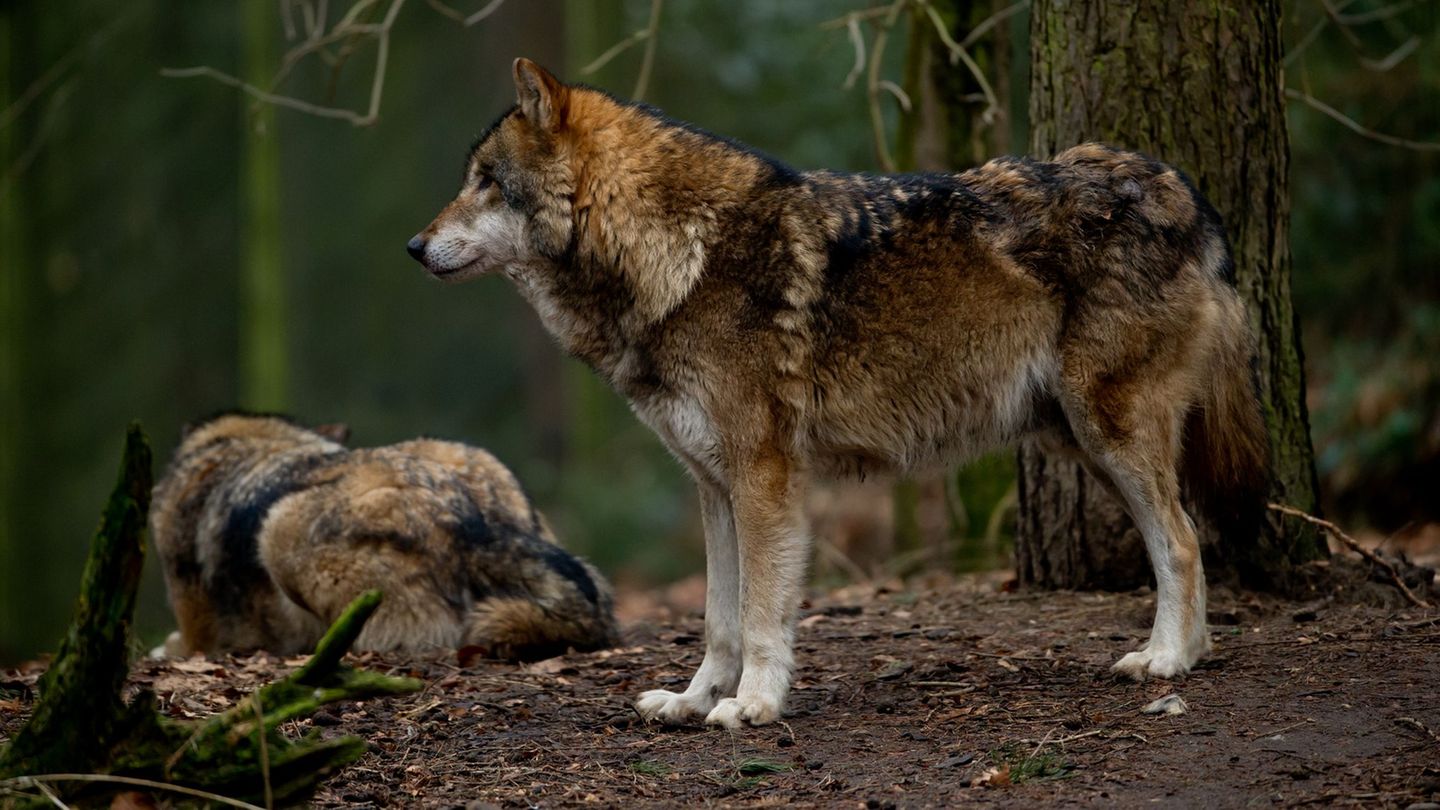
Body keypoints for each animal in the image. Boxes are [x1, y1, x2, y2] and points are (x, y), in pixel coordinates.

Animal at [406, 60, 1269, 728]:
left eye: (487, 182)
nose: (414, 246)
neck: (676, 257)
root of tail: (1181, 188)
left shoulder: (765, 479)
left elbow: (761, 615)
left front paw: (753, 706)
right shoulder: (713, 486)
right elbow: (717, 619)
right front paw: (692, 702)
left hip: (1108, 432)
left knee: (1183, 542)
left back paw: (1167, 661)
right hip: (1082, 443)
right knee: (1180, 540)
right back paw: (1182, 653)